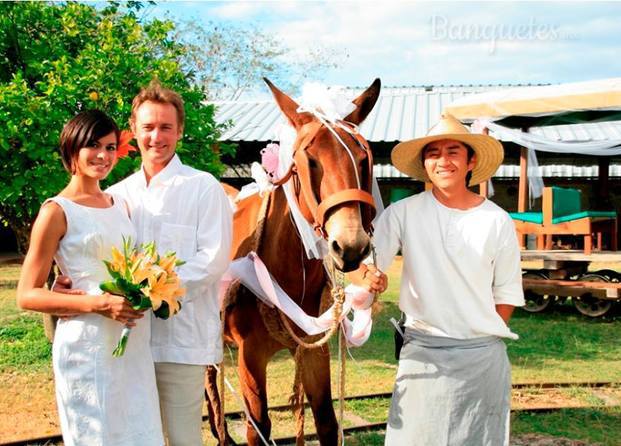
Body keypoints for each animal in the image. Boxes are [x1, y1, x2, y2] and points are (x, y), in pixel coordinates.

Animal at [208, 78, 380, 444]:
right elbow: (258, 427)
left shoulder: (314, 348)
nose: (350, 245)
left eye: (362, 159)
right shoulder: (250, 355)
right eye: (307, 160)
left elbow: (327, 420)